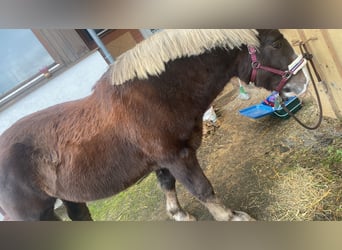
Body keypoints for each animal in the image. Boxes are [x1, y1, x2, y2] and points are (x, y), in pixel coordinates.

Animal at [0, 29, 308, 221]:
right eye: (276, 43)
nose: (302, 83)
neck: (155, 97)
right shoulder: (179, 157)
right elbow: (202, 188)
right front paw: (231, 217)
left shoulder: (164, 160)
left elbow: (167, 184)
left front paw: (179, 214)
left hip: (69, 198)